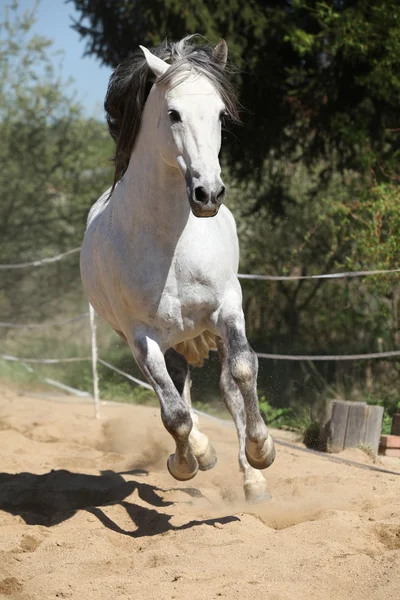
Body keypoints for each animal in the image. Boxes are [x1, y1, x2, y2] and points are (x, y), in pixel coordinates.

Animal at [80, 36, 276, 502]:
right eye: (173, 114)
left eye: (221, 114)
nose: (209, 194)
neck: (171, 245)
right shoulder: (140, 337)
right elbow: (174, 413)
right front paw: (186, 462)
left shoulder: (228, 308)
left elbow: (244, 369)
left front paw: (262, 451)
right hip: (160, 338)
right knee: (175, 390)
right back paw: (202, 452)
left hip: (203, 329)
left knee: (227, 389)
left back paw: (253, 482)